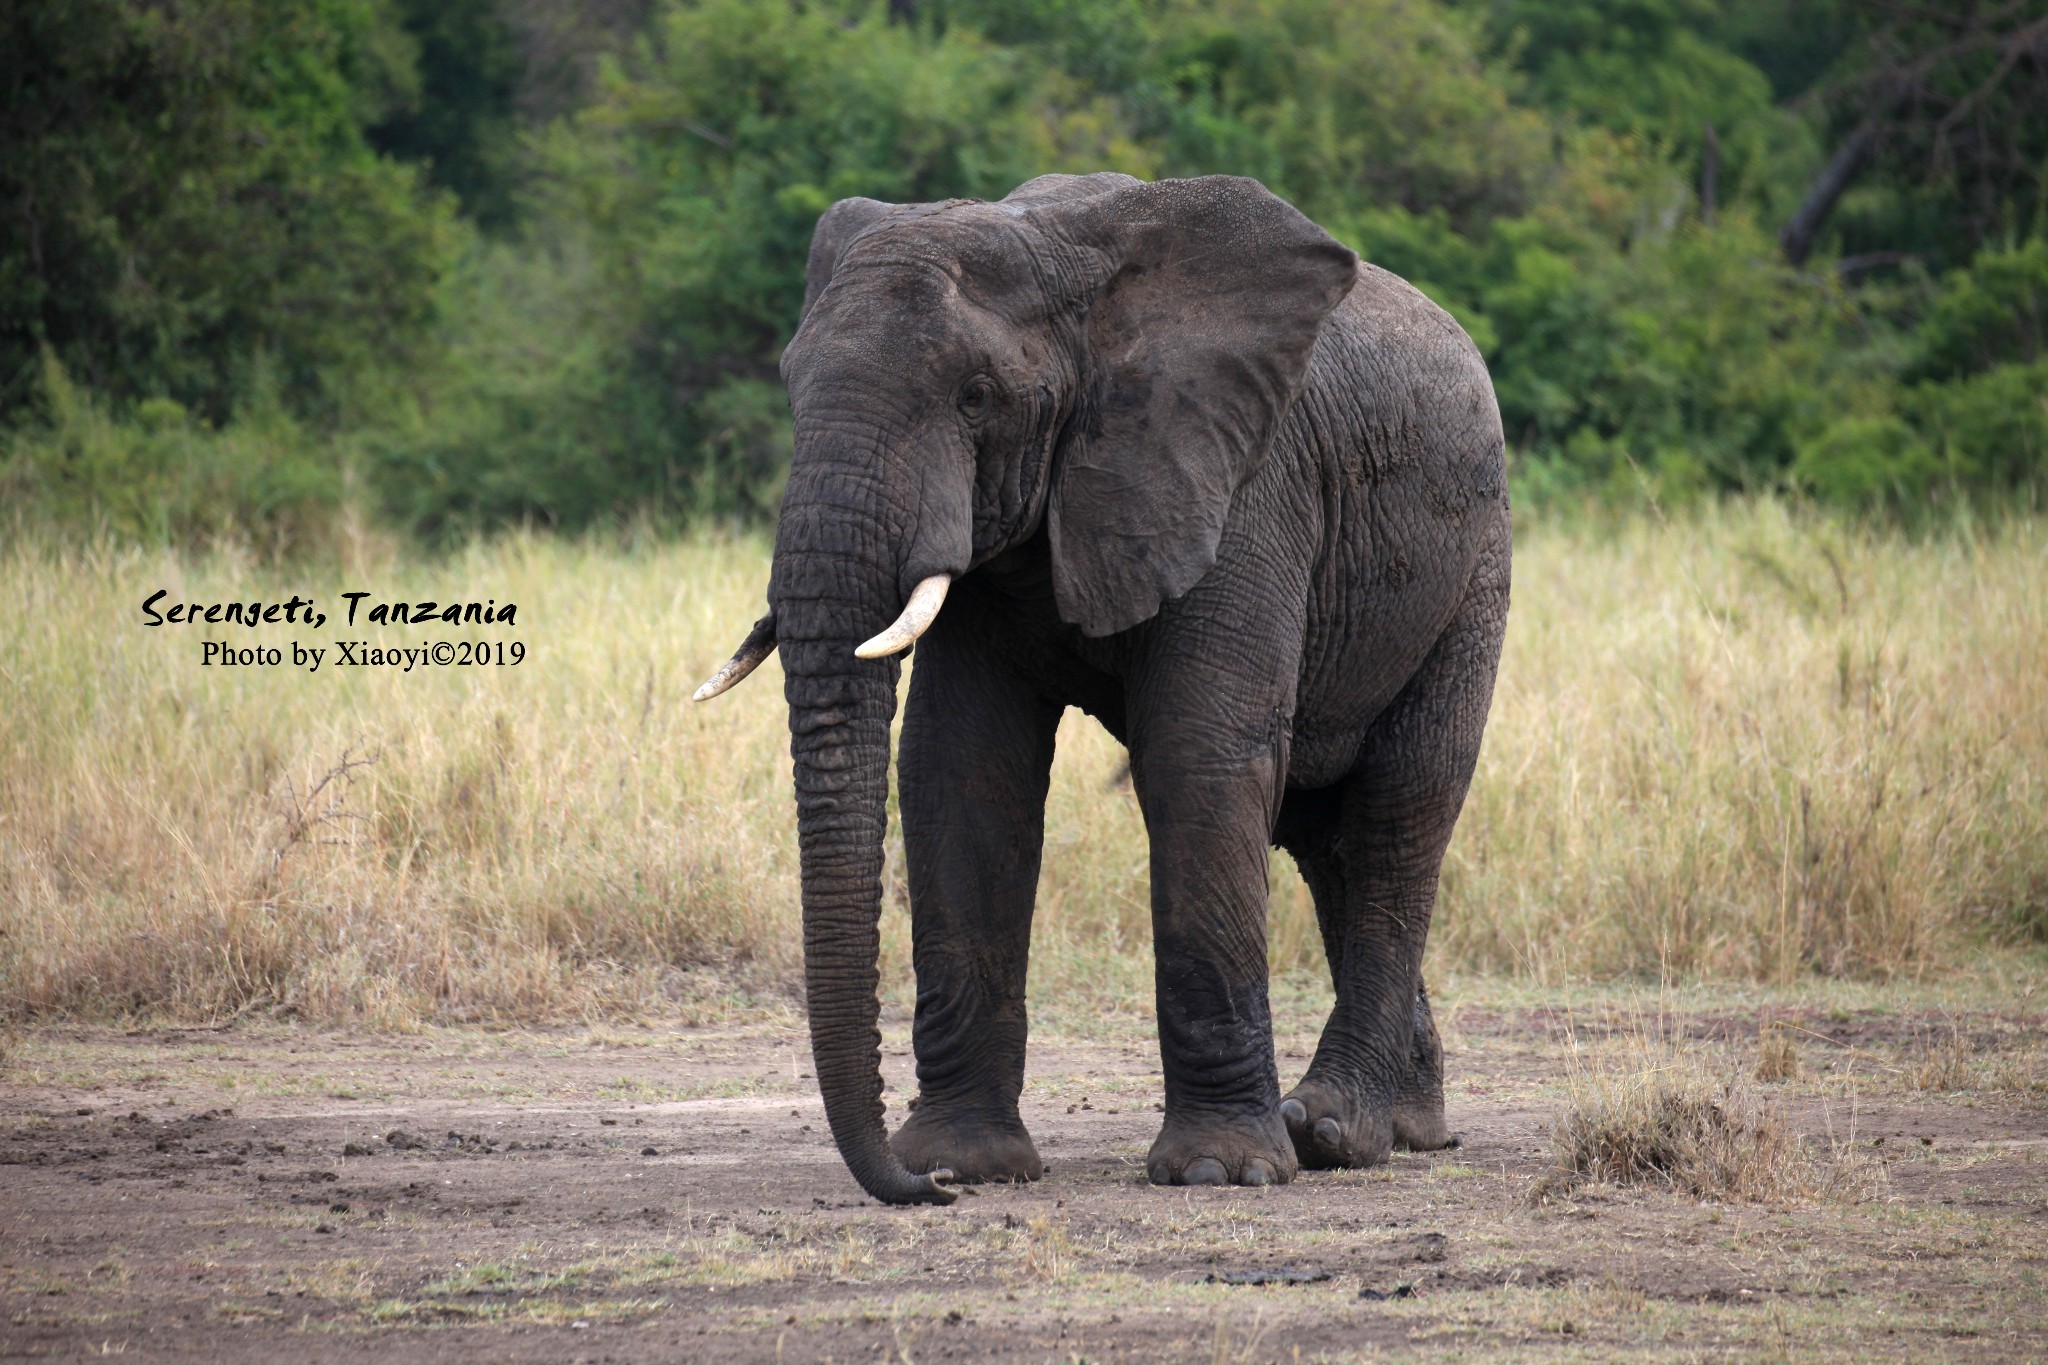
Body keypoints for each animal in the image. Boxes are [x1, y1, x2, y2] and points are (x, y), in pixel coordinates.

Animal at [696, 170, 1515, 1203]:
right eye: (792, 387)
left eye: (976, 397)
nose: (923, 1188)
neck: (1062, 258)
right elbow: (961, 770)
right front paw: (969, 1162)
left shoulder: (1243, 482)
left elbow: (1199, 757)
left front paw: (1217, 1170)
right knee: (1322, 833)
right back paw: (1405, 1125)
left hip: (1473, 568)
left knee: (1397, 812)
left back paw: (1334, 1131)